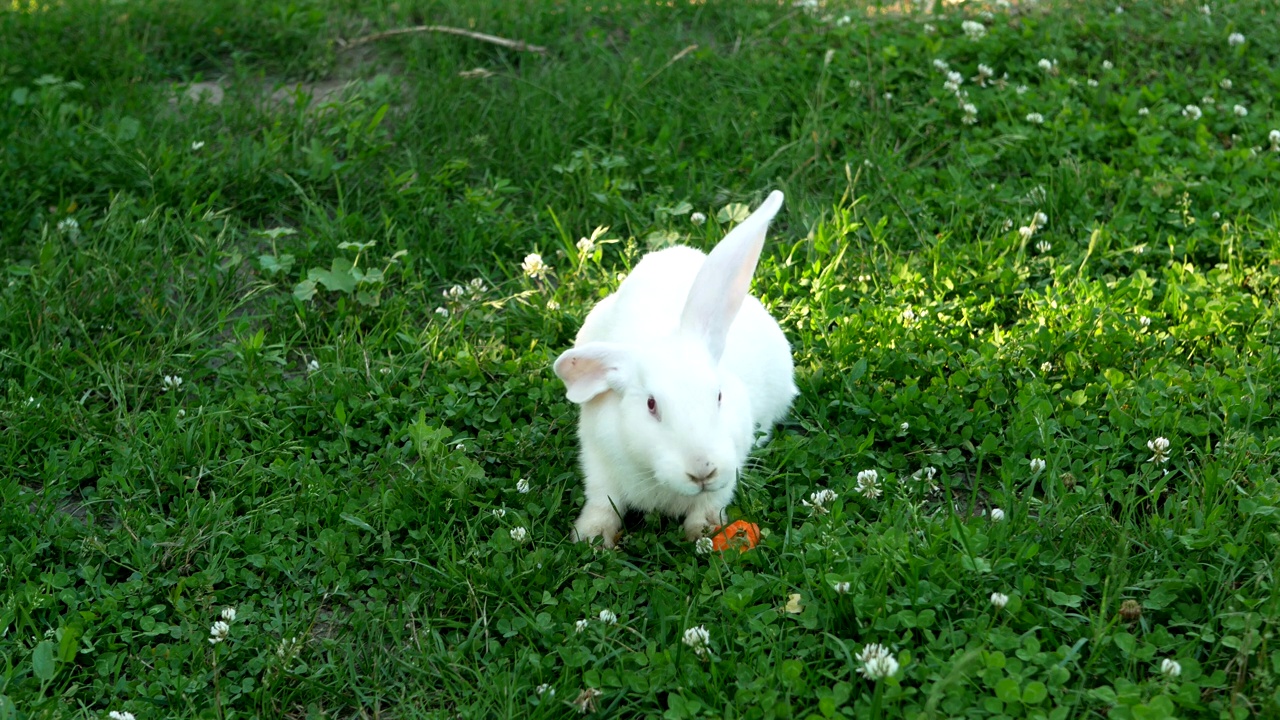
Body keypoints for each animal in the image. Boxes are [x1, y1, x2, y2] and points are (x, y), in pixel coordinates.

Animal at [555, 190, 793, 543]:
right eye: (651, 405)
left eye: (719, 396)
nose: (702, 471)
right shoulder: (597, 463)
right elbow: (602, 503)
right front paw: (592, 537)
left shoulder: (731, 465)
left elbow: (709, 505)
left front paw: (703, 532)